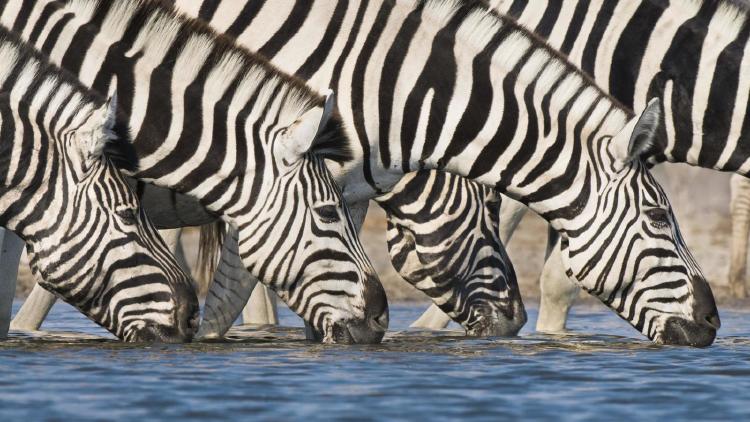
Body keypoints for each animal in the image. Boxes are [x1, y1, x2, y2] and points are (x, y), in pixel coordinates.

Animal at [172, 0, 724, 346]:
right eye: (658, 218)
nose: (713, 321)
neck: (392, 89)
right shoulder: (274, 181)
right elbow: (232, 292)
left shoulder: (334, 192)